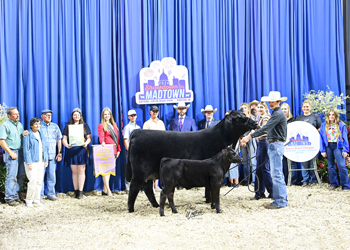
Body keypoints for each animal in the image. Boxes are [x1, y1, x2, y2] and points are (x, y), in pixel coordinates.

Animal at [126, 109, 258, 211]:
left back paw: (156, 205)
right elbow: (211, 189)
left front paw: (208, 201)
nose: (256, 122)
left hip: (149, 173)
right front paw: (212, 203)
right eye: (239, 118)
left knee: (147, 188)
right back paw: (131, 209)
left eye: (245, 115)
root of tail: (138, 131)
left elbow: (209, 188)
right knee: (134, 187)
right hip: (140, 171)